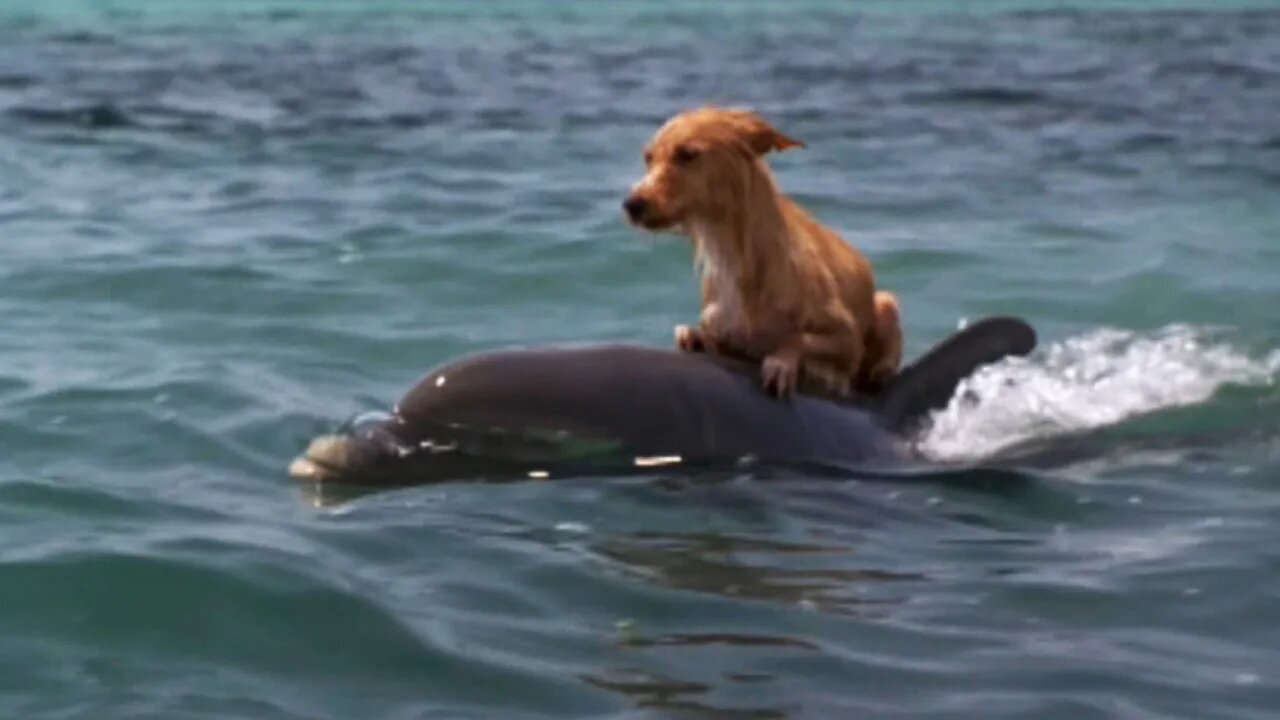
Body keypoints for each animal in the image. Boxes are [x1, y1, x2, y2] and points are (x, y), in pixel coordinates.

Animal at [624, 106, 906, 397]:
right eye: (648, 159)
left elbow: (797, 338)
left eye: (687, 155)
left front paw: (781, 364)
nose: (631, 205)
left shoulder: (847, 340)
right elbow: (711, 337)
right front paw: (695, 337)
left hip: (886, 304)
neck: (732, 255)